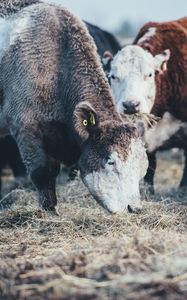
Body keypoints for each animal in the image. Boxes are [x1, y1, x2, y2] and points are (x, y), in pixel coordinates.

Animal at [0, 1, 149, 213]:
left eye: (142, 166)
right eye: (110, 161)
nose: (134, 208)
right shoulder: (25, 128)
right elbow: (41, 173)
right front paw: (49, 212)